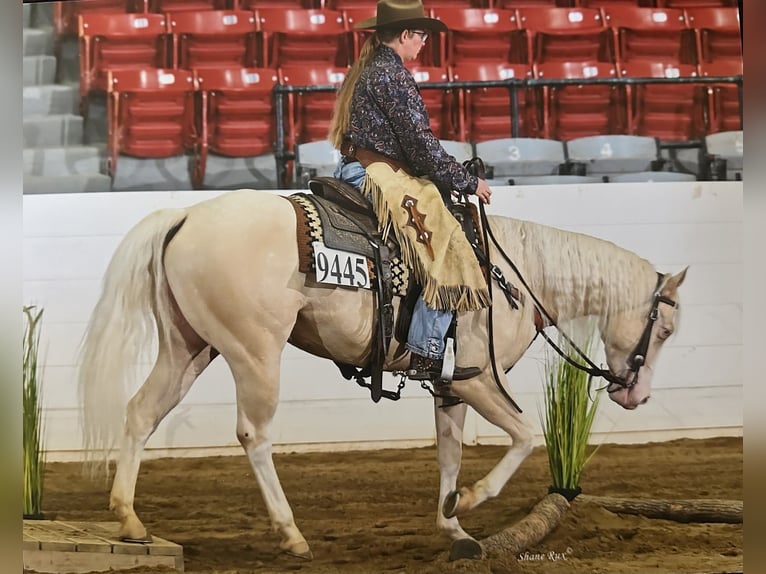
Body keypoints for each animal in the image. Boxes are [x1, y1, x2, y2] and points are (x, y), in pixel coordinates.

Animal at [78, 188, 687, 560]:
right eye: (665, 330)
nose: (637, 396)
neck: (515, 274)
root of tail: (184, 216)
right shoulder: (477, 380)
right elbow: (523, 437)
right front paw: (470, 501)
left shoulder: (449, 386)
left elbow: (449, 454)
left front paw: (453, 526)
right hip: (254, 353)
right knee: (254, 433)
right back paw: (291, 534)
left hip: (189, 347)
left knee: (141, 413)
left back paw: (130, 520)